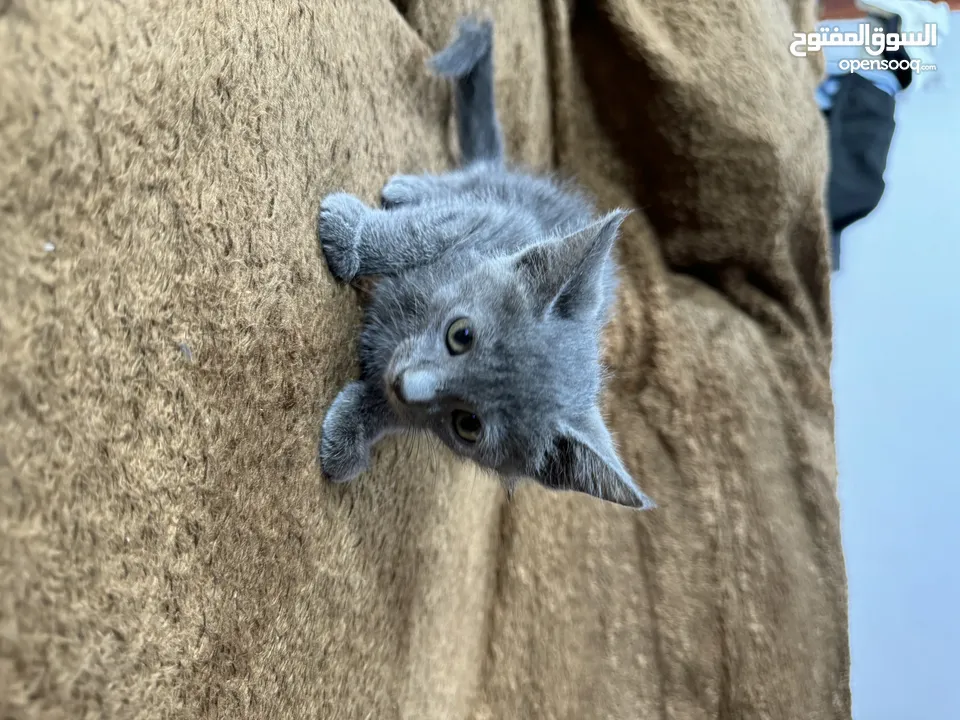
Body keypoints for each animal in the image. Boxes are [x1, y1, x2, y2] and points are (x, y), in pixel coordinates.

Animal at [316, 18, 652, 512]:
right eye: (461, 334)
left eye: (468, 425)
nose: (407, 383)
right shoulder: (484, 218)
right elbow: (413, 234)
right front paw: (352, 238)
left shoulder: (414, 410)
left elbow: (389, 409)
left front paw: (350, 437)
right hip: (495, 190)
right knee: (463, 182)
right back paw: (409, 189)